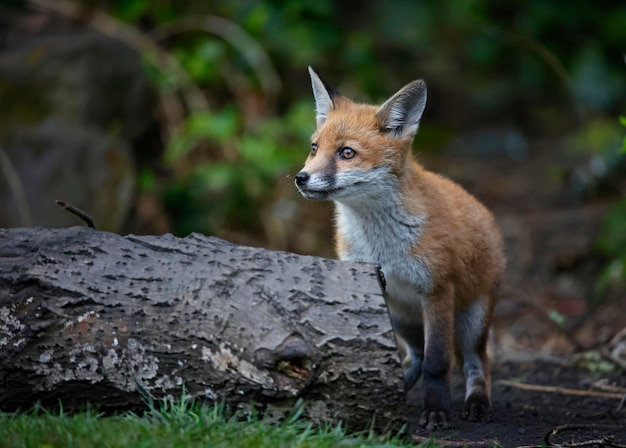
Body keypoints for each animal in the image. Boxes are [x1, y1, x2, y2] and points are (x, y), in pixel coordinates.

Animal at [294, 67, 504, 430]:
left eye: (346, 153)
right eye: (314, 148)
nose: (301, 177)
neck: (381, 247)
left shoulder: (438, 290)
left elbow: (437, 363)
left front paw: (436, 411)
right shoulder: (371, 289)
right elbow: (400, 356)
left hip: (471, 322)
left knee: (476, 363)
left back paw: (477, 401)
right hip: (401, 315)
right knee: (414, 357)